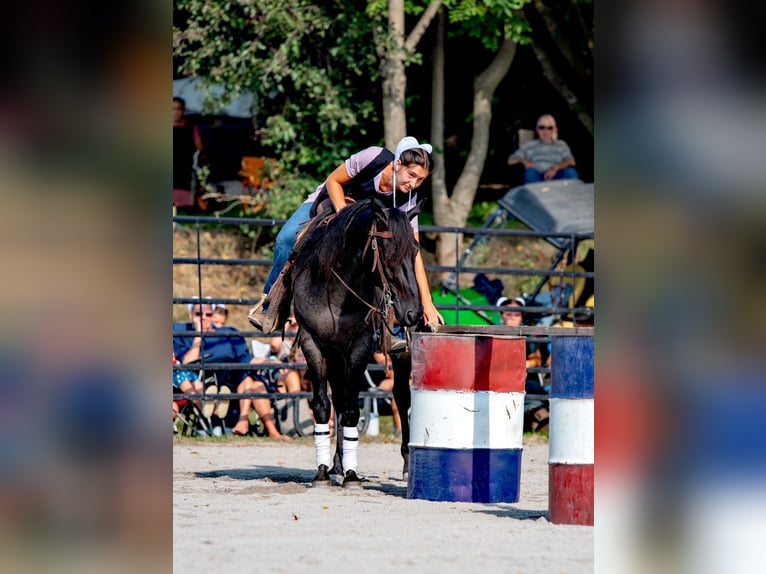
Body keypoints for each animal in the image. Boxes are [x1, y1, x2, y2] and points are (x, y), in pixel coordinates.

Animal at [286, 200, 424, 488]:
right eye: (387, 249)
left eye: (415, 250)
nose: (414, 312)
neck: (335, 292)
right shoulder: (313, 343)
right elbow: (323, 406)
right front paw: (323, 472)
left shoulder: (360, 346)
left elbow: (351, 408)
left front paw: (351, 474)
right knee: (338, 399)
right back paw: (336, 463)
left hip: (401, 354)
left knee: (401, 397)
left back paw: (406, 465)